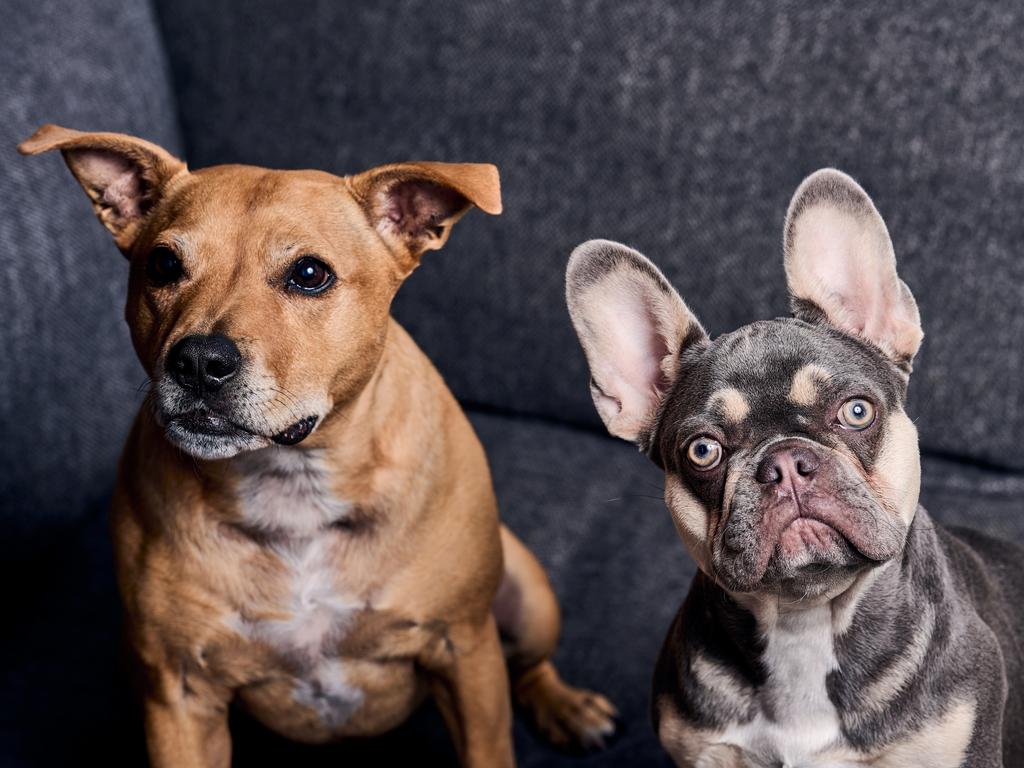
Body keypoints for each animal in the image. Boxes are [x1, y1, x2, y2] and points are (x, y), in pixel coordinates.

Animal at [22, 123, 614, 765]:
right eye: (162, 264)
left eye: (309, 274)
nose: (199, 361)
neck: (292, 483)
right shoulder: (178, 697)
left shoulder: (466, 654)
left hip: (529, 602)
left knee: (528, 665)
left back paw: (566, 705)